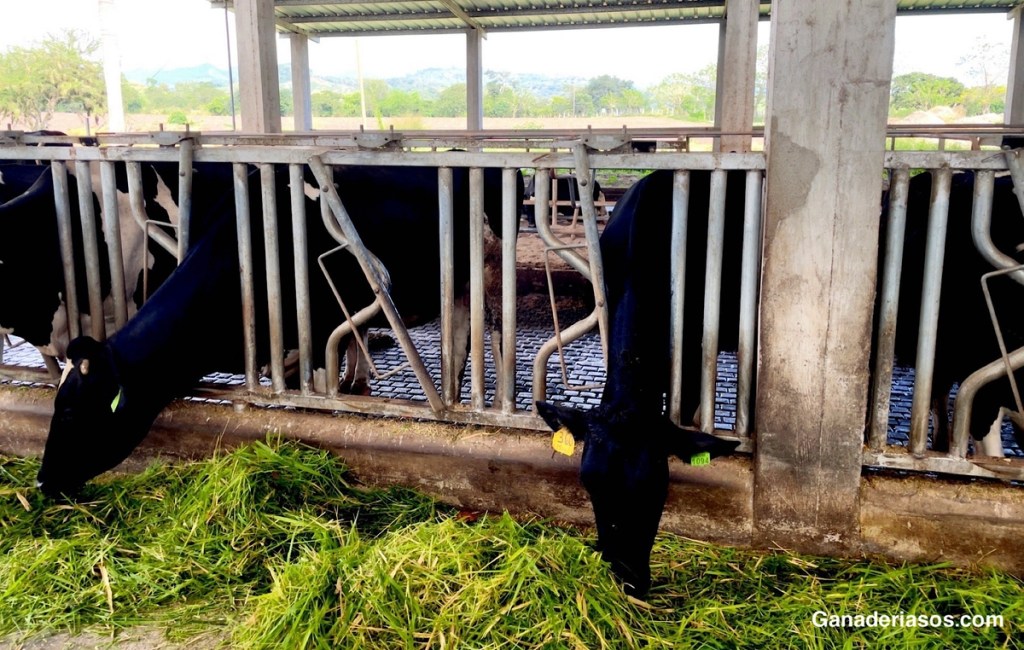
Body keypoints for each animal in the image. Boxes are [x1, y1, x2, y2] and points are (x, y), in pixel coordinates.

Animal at [36, 162, 523, 498]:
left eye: (71, 411)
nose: (42, 480)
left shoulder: (317, 334)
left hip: (490, 273)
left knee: (492, 338)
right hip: (453, 287)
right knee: (453, 344)